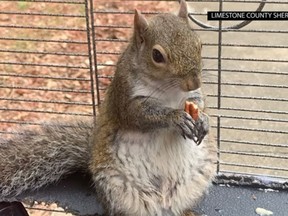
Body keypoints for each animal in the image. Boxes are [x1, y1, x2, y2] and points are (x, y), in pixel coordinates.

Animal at [0, 0, 216, 215]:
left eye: (199, 44)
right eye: (157, 55)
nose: (194, 82)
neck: (168, 91)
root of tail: (161, 204)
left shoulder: (191, 96)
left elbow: (198, 102)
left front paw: (203, 120)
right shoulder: (125, 95)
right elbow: (139, 115)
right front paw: (175, 118)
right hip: (116, 188)